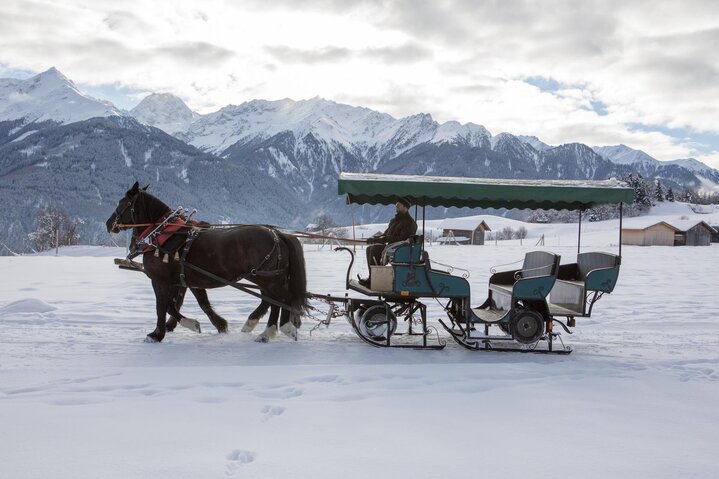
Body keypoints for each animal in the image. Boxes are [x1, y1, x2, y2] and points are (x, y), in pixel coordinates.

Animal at [107, 182, 310, 344]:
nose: (108, 224)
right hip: (266, 278)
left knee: (280, 300)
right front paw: (212, 324)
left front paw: (157, 334)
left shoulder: (160, 280)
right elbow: (188, 304)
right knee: (274, 300)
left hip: (266, 278)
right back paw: (263, 327)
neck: (164, 235)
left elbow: (162, 306)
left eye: (121, 203)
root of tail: (278, 234)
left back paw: (273, 330)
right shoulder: (187, 280)